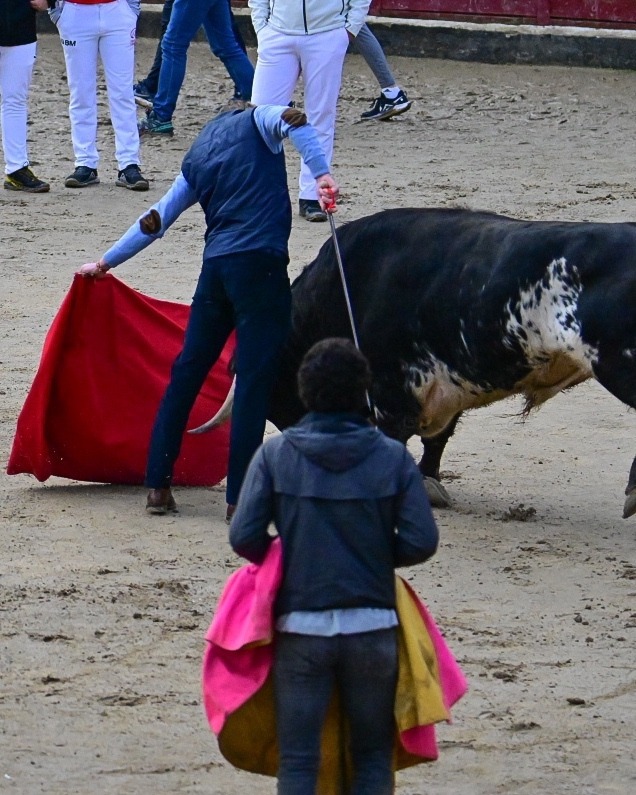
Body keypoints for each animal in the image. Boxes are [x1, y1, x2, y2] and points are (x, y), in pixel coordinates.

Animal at [191, 208, 636, 519]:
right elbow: (436, 439)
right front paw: (430, 482)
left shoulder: (392, 390)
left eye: (273, 394)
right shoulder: (441, 387)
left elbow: (399, 437)